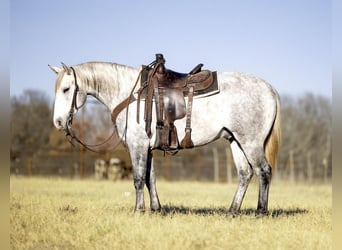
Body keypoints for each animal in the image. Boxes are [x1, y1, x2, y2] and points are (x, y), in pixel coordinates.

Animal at [50, 60, 280, 215]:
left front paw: (138, 210)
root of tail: (269, 88)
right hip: (235, 140)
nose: (58, 122)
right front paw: (155, 208)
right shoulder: (148, 148)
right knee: (245, 174)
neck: (130, 94)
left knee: (263, 171)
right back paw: (232, 211)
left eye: (66, 89)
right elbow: (150, 178)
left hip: (250, 142)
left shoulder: (137, 146)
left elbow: (138, 179)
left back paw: (260, 211)